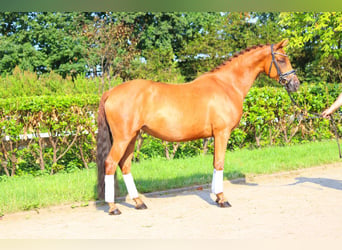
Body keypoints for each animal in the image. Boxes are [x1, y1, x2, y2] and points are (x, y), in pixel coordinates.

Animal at [96, 39, 300, 215]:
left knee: (125, 165)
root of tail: (111, 92)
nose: (295, 84)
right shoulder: (222, 133)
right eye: (281, 59)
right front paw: (222, 199)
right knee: (111, 163)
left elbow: (215, 163)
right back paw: (113, 207)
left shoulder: (215, 135)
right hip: (123, 138)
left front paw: (217, 197)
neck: (227, 85)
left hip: (132, 137)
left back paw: (139, 202)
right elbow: (219, 163)